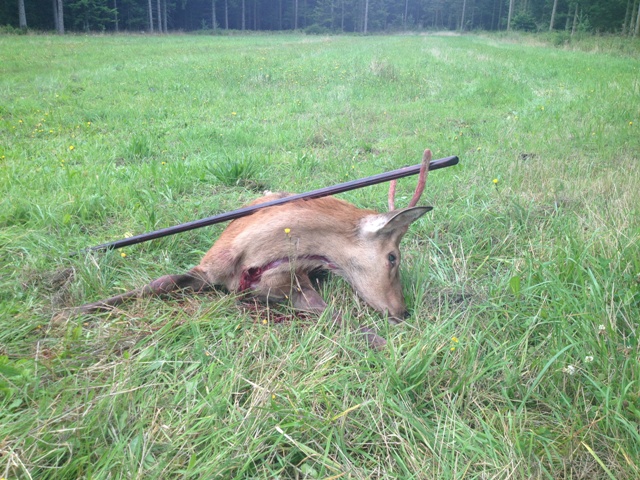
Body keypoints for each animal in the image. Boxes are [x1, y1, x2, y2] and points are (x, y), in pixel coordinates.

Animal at [65, 150, 436, 348]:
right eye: (393, 256)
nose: (402, 311)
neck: (256, 257)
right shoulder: (208, 267)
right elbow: (161, 281)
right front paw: (74, 310)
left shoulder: (295, 285)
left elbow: (333, 314)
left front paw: (380, 341)